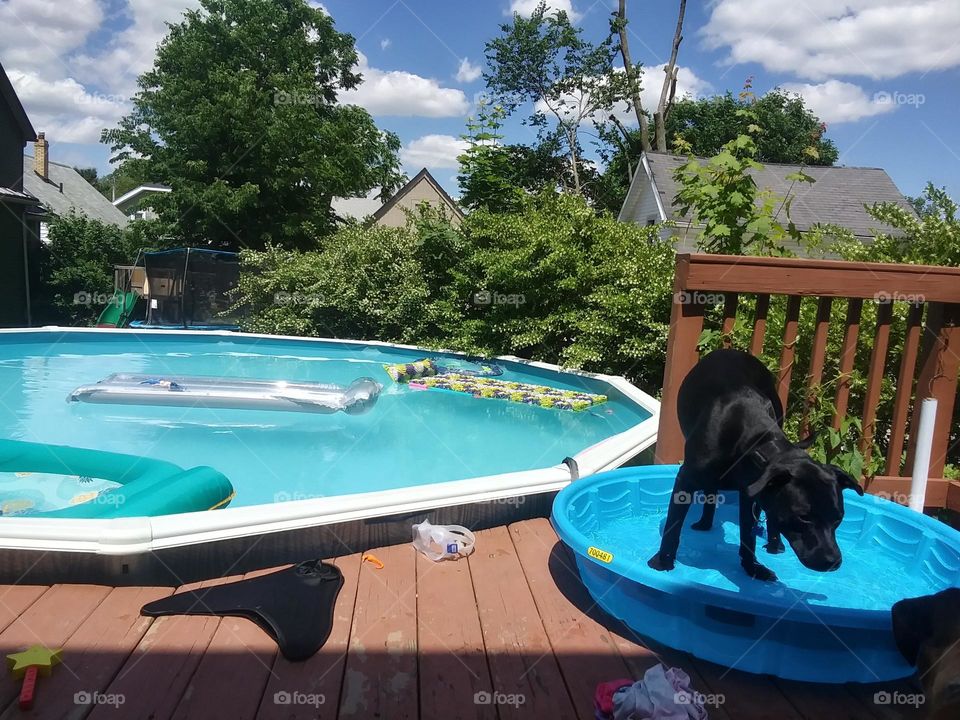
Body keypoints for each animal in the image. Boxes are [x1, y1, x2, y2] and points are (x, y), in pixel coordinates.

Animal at [648, 352, 868, 584]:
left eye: (839, 518)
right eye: (803, 517)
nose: (832, 561)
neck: (755, 441)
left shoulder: (750, 493)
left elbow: (748, 535)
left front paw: (752, 567)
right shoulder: (686, 480)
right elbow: (673, 526)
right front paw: (663, 562)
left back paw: (774, 543)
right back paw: (705, 523)